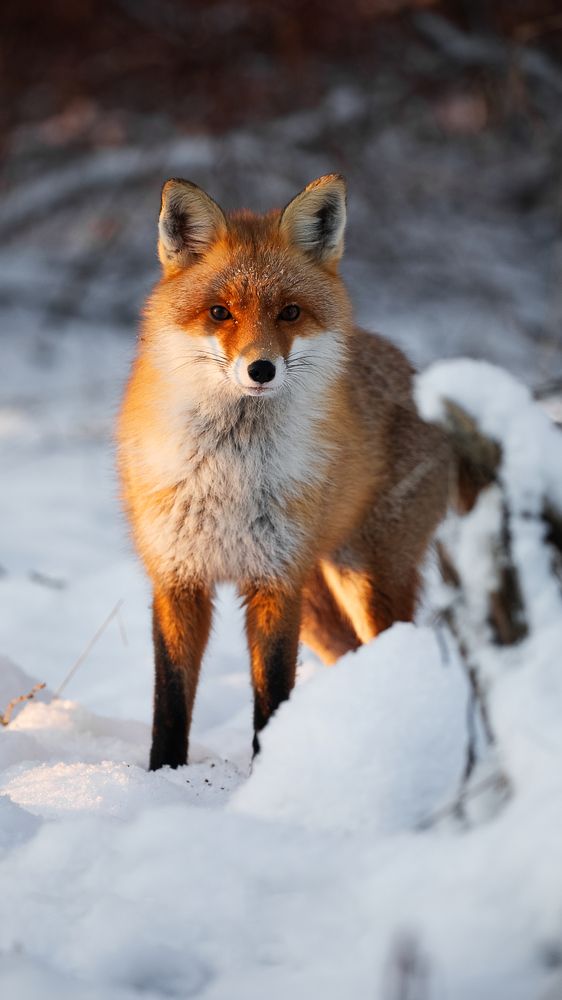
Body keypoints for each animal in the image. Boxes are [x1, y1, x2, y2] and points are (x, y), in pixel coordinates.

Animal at [117, 173, 450, 770]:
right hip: (320, 603)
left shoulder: (276, 580)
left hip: (368, 580)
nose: (261, 368)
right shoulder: (178, 577)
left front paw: (265, 774)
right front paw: (163, 775)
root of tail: (416, 374)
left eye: (290, 313)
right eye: (220, 312)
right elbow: (170, 700)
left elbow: (270, 695)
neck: (230, 473)